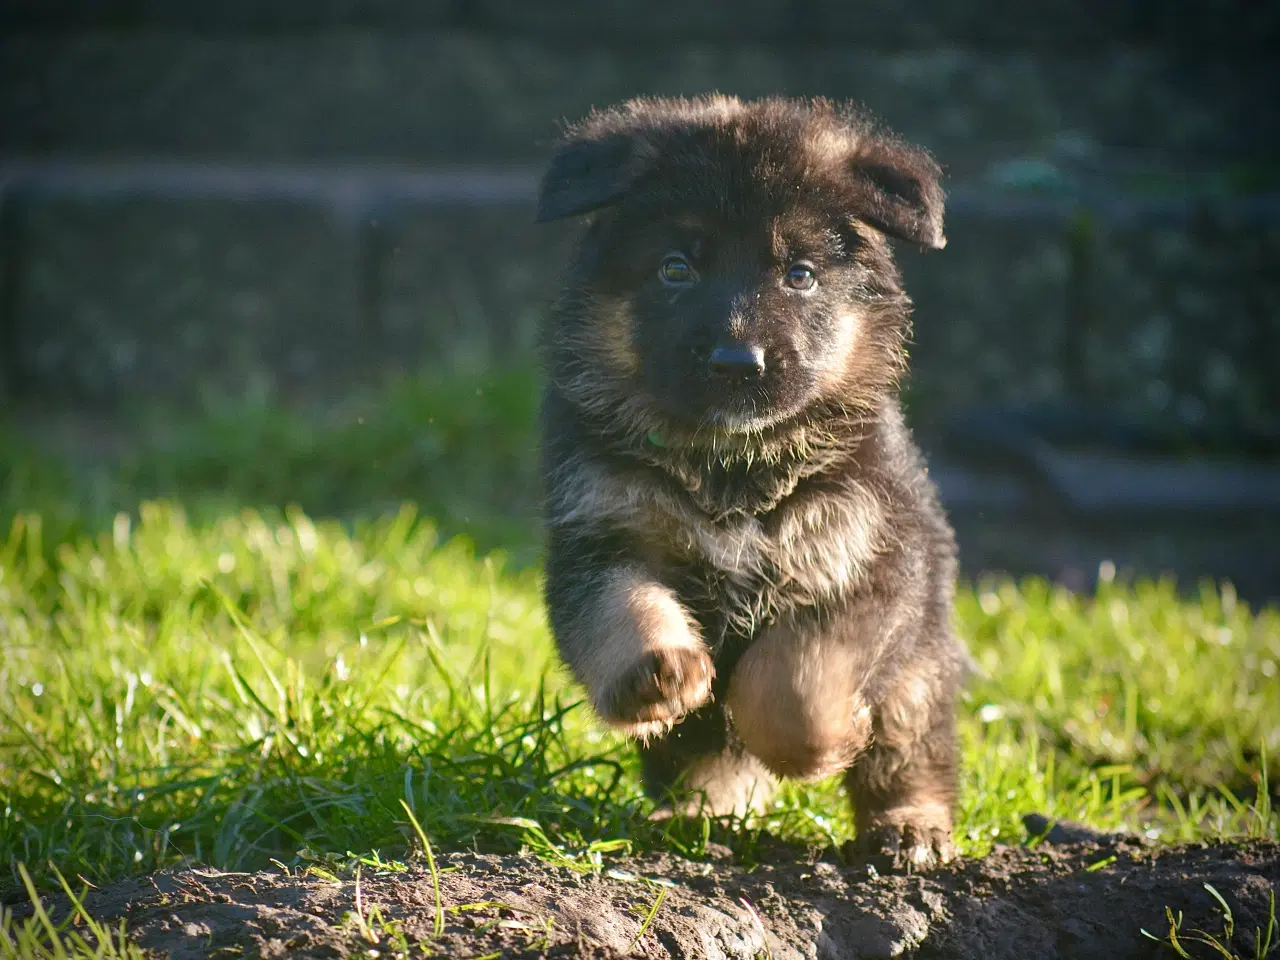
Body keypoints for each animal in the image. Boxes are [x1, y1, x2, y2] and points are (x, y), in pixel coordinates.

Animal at [535, 96, 962, 870]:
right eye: (676, 268)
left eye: (800, 274)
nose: (739, 362)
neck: (732, 465)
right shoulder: (599, 538)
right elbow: (625, 609)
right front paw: (661, 670)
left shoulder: (871, 561)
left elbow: (793, 686)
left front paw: (819, 744)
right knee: (706, 762)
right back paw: (696, 815)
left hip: (919, 661)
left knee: (911, 750)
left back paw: (910, 829)